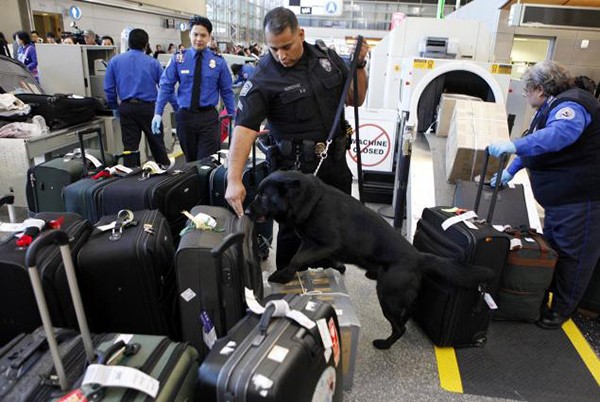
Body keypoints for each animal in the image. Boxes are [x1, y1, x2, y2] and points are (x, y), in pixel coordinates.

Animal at [244, 170, 492, 348]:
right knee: (405, 317)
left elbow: (298, 257)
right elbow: (309, 257)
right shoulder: (315, 244)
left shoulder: (325, 244)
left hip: (388, 297)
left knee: (399, 328)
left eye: (263, 195)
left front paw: (283, 274)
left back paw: (384, 344)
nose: (246, 212)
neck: (312, 201)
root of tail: (417, 256)